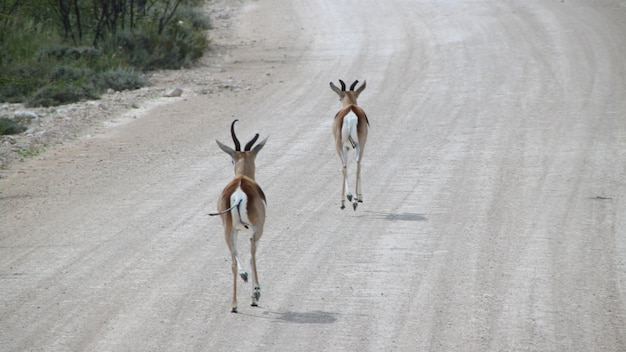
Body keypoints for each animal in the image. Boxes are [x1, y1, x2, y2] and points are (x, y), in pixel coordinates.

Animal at [210, 119, 266, 312]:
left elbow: (236, 255)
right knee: (252, 254)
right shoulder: (256, 230)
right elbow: (250, 256)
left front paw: (244, 275)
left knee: (233, 262)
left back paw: (234, 304)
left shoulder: (235, 229)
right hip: (256, 229)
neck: (243, 176)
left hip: (227, 230)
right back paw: (255, 295)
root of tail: (240, 193)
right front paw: (254, 293)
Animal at [330, 79, 368, 210]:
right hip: (358, 145)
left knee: (345, 166)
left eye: (339, 98)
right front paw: (356, 196)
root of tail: (351, 113)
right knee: (357, 164)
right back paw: (355, 200)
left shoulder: (345, 147)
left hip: (341, 146)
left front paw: (351, 195)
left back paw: (345, 201)